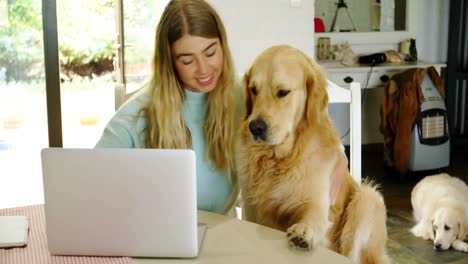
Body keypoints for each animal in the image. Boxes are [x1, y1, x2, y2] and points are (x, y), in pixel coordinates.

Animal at [236, 45, 390, 264]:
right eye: (253, 89)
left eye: (283, 92)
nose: (255, 127)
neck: (279, 159)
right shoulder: (251, 209)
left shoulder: (316, 201)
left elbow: (312, 216)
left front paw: (304, 230)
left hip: (367, 199)